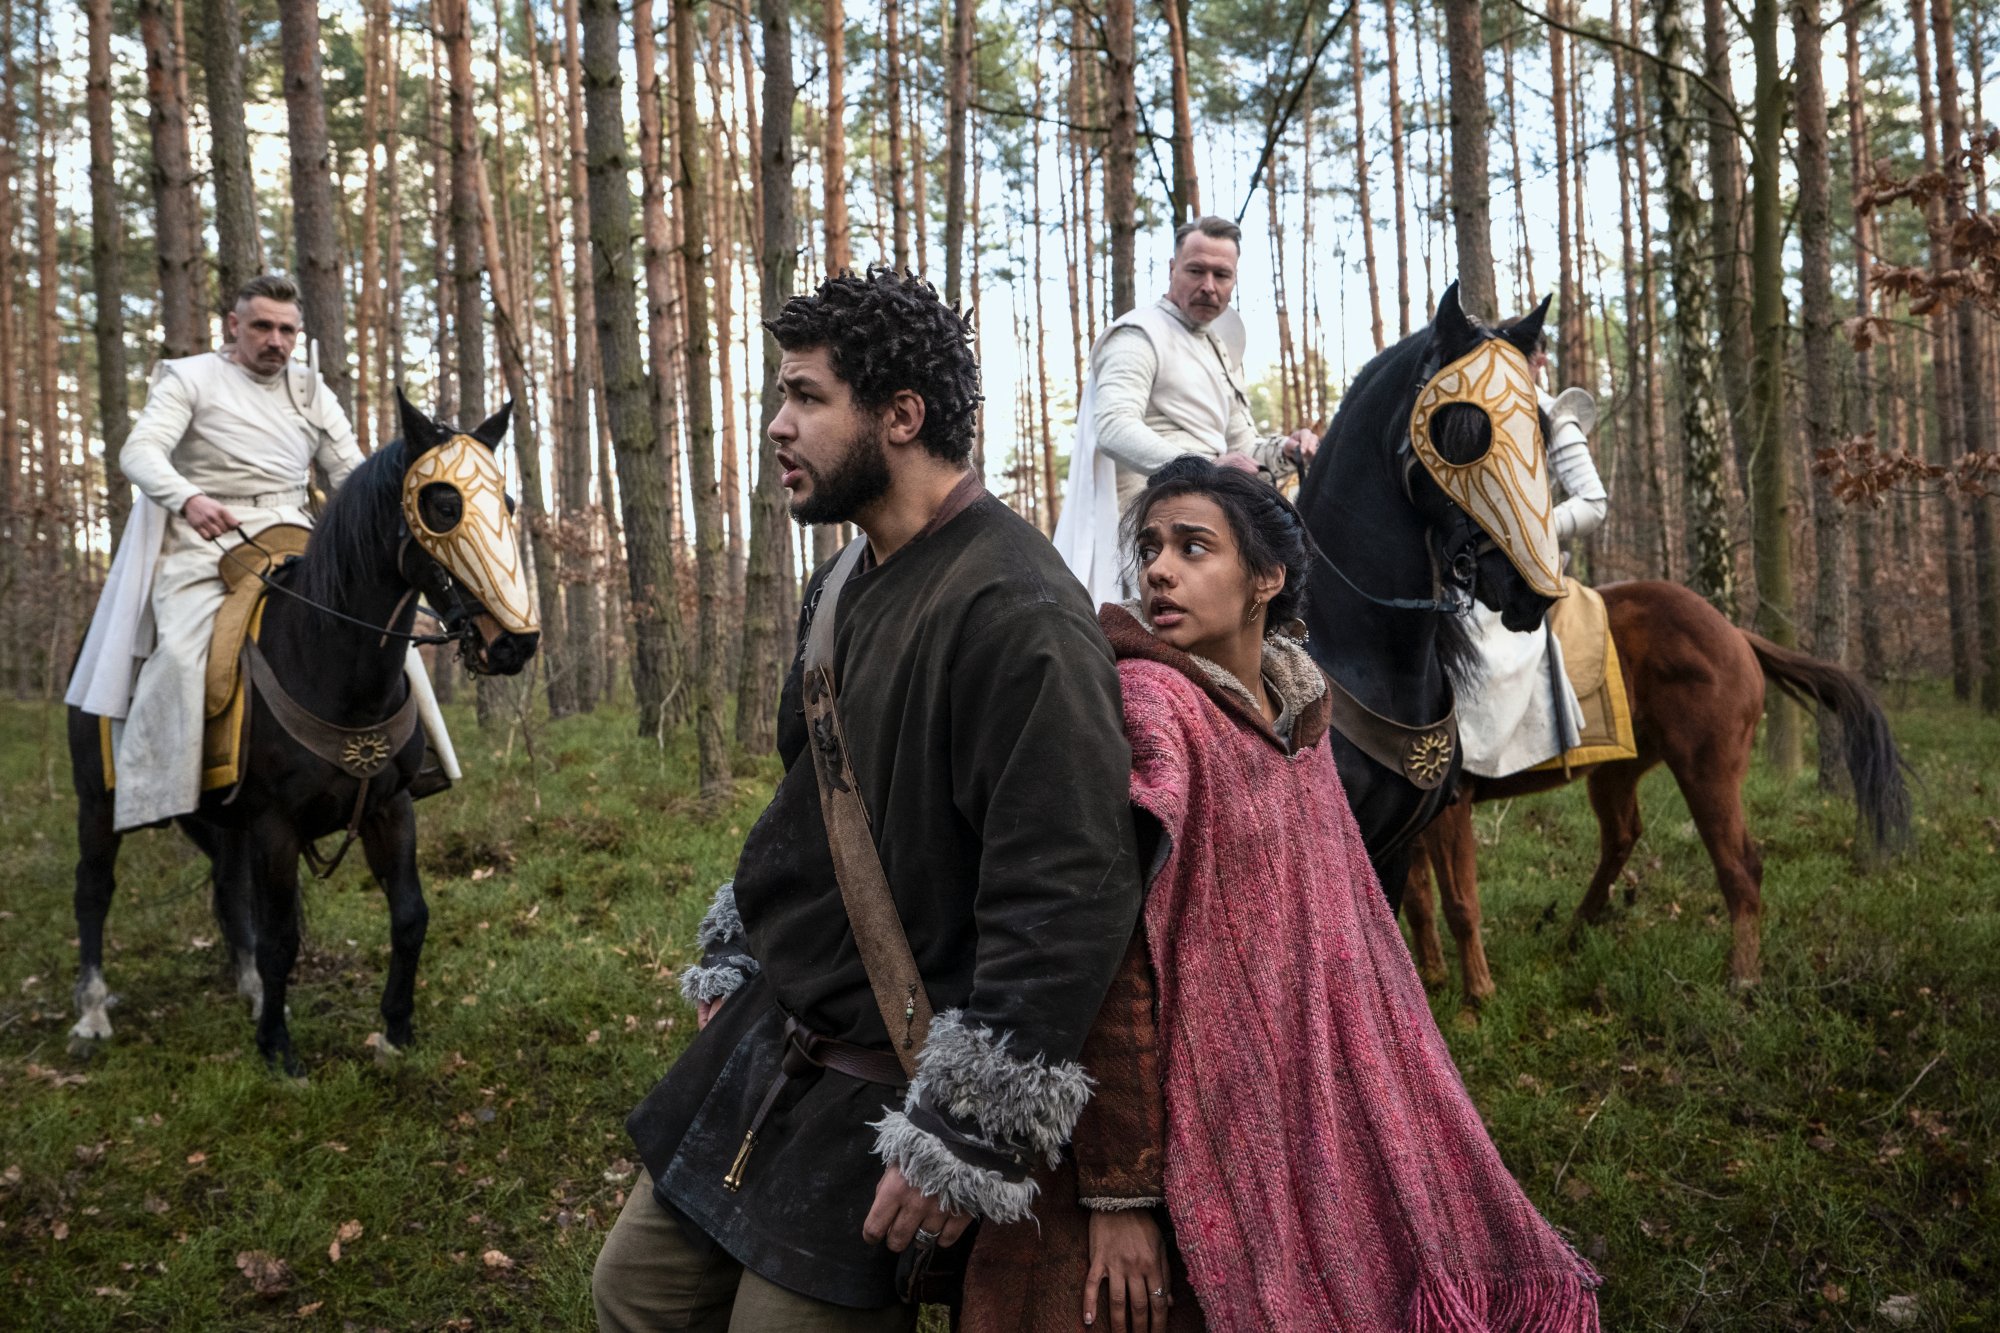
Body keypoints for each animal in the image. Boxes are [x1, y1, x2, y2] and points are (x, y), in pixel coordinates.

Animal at [69, 392, 540, 1072]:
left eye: (506, 502)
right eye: (444, 506)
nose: (514, 643)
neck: (333, 665)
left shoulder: (389, 807)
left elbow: (409, 915)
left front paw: (395, 1031)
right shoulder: (275, 824)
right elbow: (282, 937)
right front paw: (278, 1052)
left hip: (219, 817)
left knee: (227, 886)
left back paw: (250, 991)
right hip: (98, 802)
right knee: (94, 890)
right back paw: (92, 1012)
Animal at [1400, 572, 1912, 996]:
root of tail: (1735, 635)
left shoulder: (1452, 809)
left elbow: (1459, 903)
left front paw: (1477, 999)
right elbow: (1417, 900)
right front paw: (1432, 980)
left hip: (1706, 771)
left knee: (1740, 865)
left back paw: (1742, 977)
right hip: (1617, 770)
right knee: (1622, 836)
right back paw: (1576, 931)